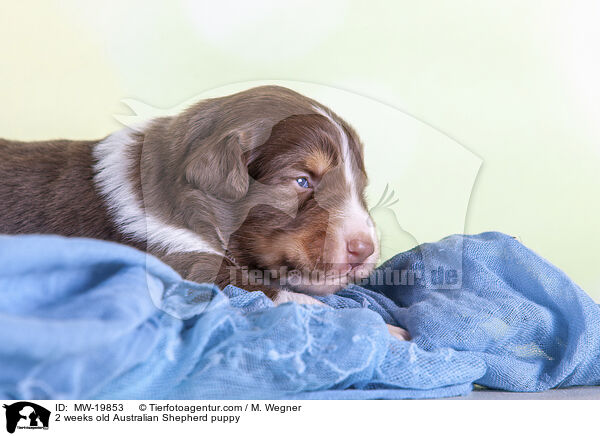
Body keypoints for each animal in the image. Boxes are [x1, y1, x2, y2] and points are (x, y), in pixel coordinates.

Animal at [0, 84, 408, 338]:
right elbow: (283, 297)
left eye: (361, 187)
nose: (365, 249)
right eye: (302, 181)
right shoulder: (190, 270)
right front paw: (387, 330)